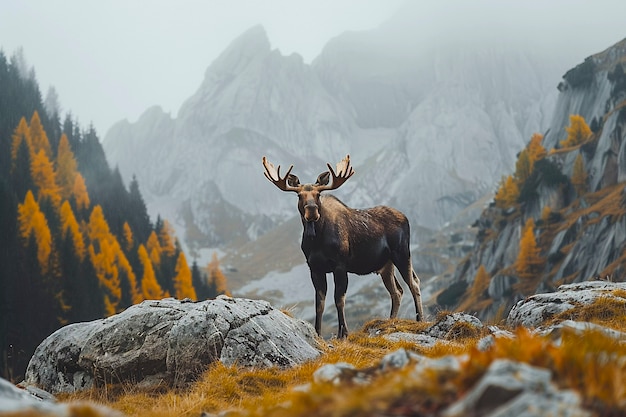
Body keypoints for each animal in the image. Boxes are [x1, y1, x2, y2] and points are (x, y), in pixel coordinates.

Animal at [260, 154, 422, 336]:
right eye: (299, 195)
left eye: (318, 194)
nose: (312, 210)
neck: (316, 241)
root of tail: (406, 218)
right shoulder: (315, 268)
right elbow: (320, 303)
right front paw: (318, 333)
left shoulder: (340, 265)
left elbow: (339, 299)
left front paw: (343, 333)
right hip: (386, 265)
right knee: (397, 291)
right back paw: (390, 322)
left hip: (402, 253)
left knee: (414, 283)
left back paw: (420, 320)